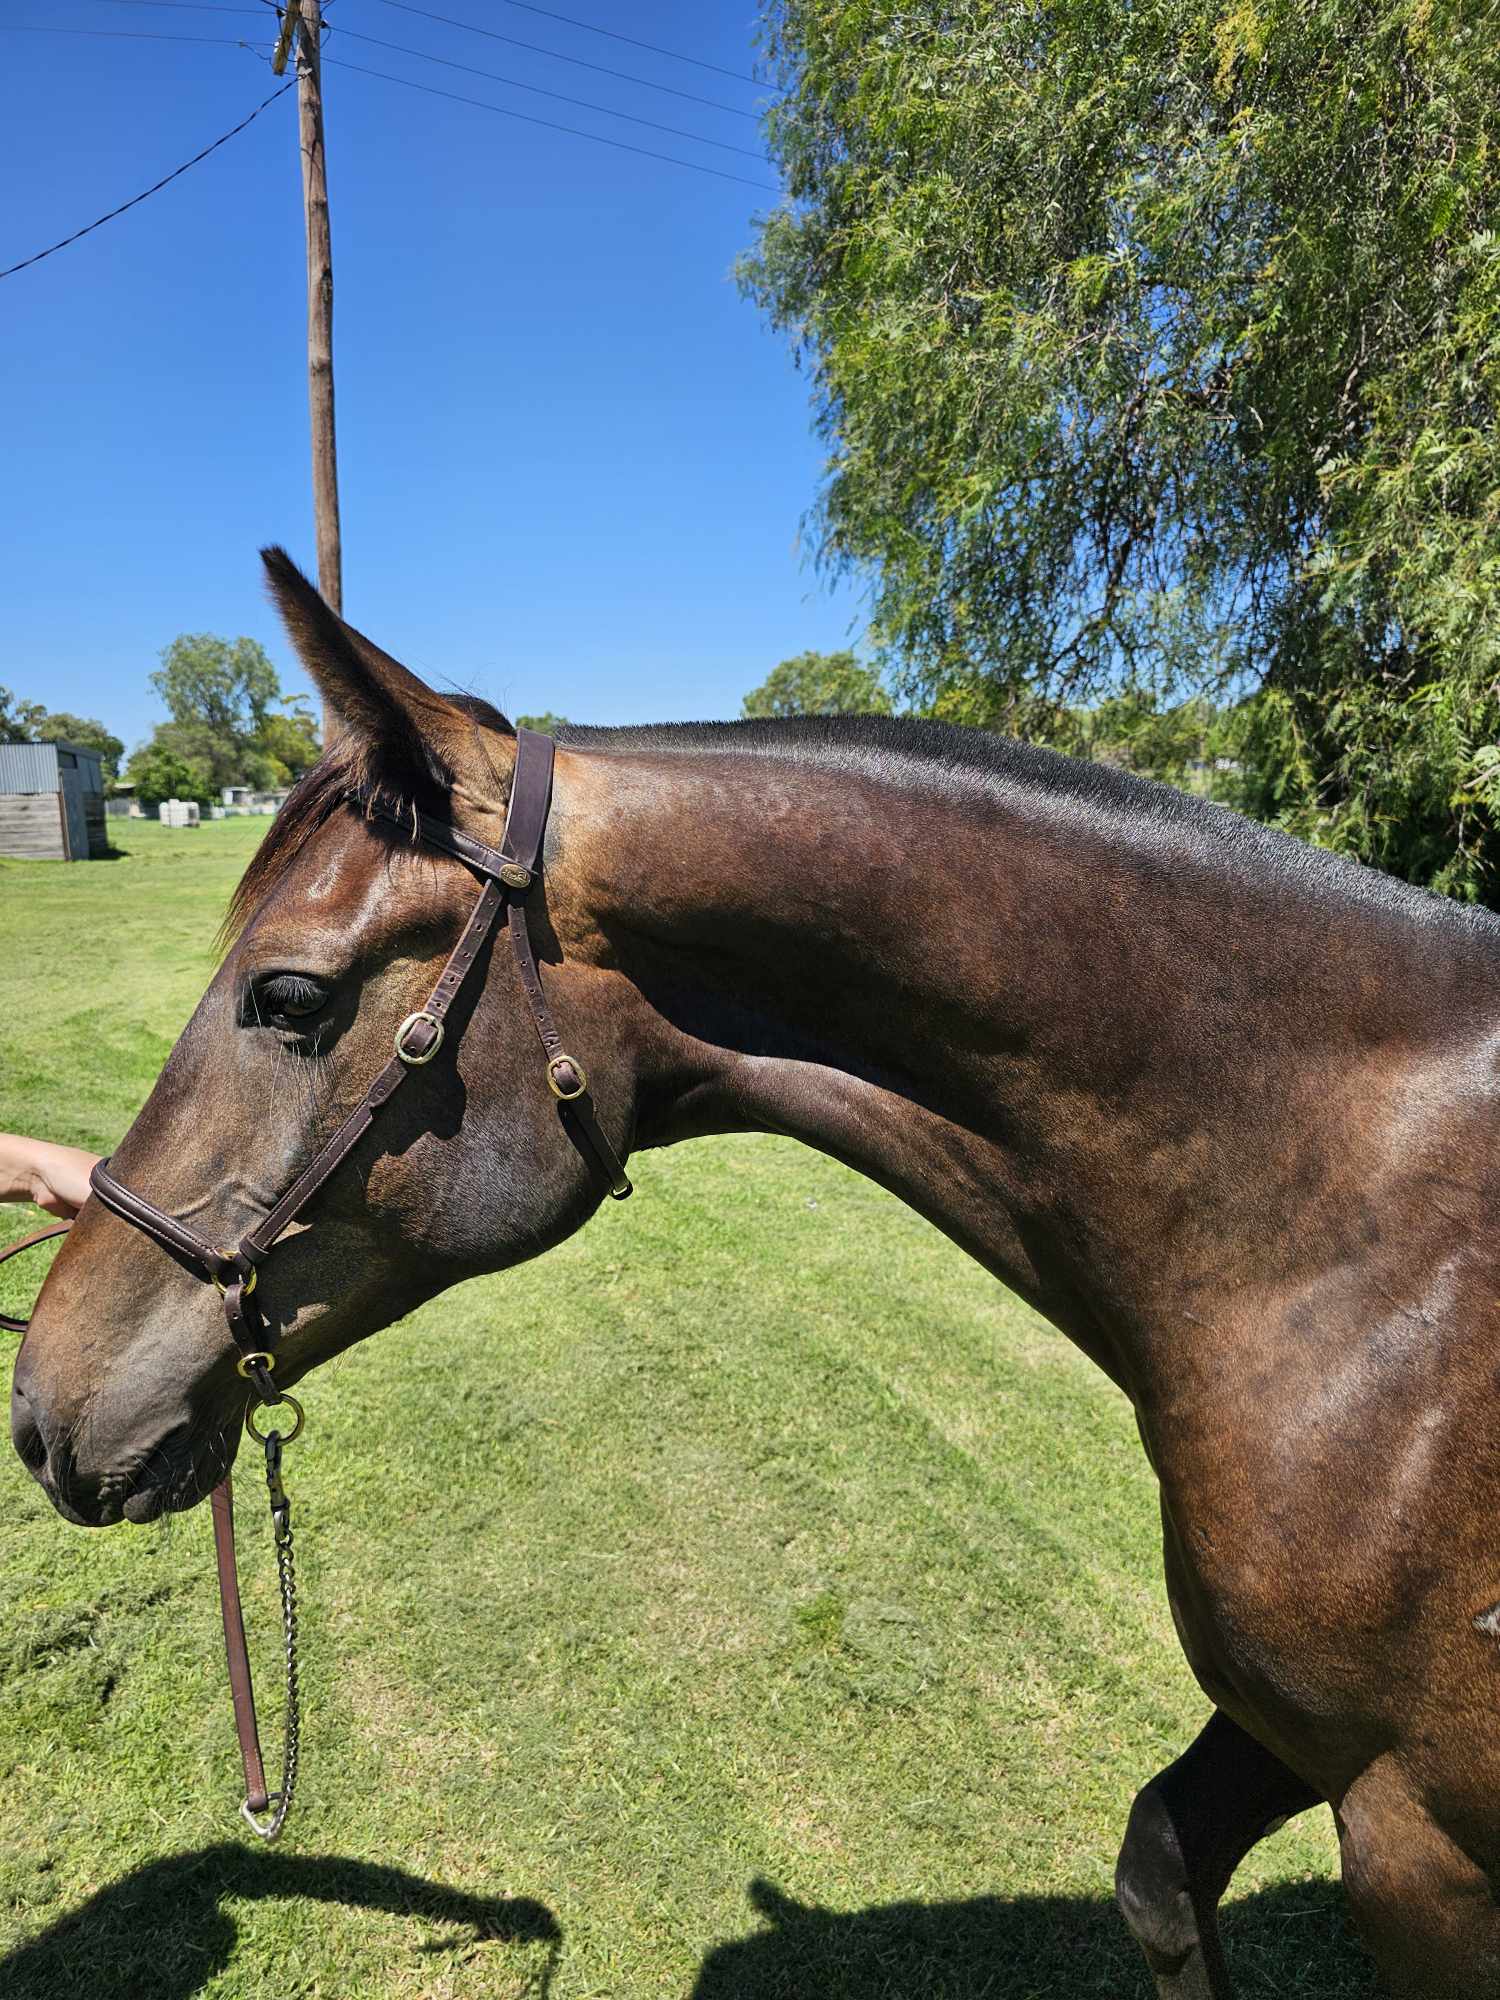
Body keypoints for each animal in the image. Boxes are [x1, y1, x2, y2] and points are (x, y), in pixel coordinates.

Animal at [13, 547, 1500, 1998]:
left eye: (289, 998)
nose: (39, 1409)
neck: (1343, 1237)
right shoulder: (1298, 1736)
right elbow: (1161, 1874)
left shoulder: (1420, 1834)